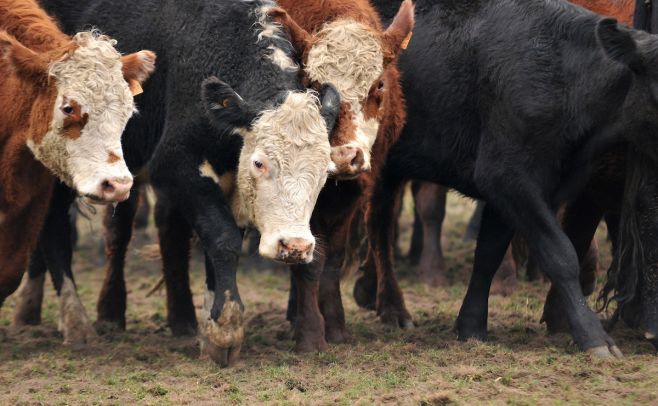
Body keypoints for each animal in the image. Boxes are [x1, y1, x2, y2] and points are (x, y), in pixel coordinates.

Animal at [268, 0, 412, 350]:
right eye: (314, 86)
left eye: (379, 85)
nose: (344, 157)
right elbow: (308, 262)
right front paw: (310, 333)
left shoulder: (354, 192)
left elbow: (332, 260)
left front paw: (335, 326)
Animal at [364, 0, 658, 356]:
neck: (564, 73)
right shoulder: (509, 177)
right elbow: (560, 253)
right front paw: (594, 336)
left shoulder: (508, 191)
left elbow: (488, 254)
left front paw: (472, 326)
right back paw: (392, 309)